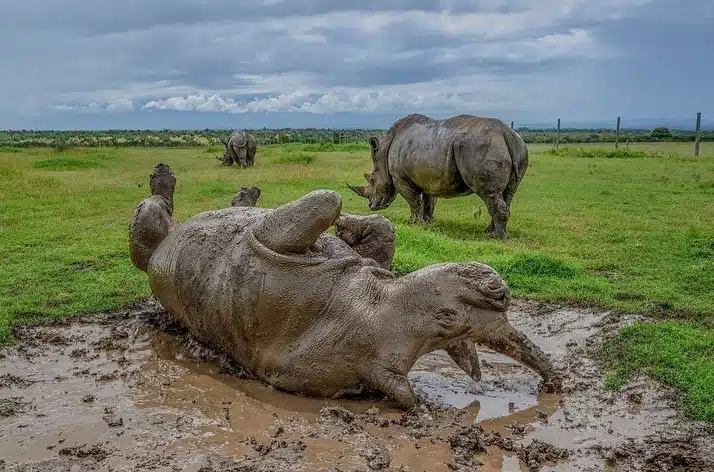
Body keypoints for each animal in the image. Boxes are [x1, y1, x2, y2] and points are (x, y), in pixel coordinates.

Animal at [129, 163, 559, 409]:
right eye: (450, 317)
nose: (500, 290)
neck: (372, 303)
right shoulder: (275, 244)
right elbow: (337, 204)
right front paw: (348, 224)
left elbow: (347, 213)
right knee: (167, 215)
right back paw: (199, 185)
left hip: (156, 252)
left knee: (150, 224)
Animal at [348, 114, 529, 239]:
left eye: (372, 180)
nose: (371, 206)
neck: (384, 152)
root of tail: (506, 133)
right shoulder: (427, 178)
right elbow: (427, 201)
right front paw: (428, 222)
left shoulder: (400, 177)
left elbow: (413, 201)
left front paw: (413, 223)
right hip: (518, 147)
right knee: (507, 193)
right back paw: (489, 232)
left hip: (480, 147)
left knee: (489, 194)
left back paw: (496, 237)